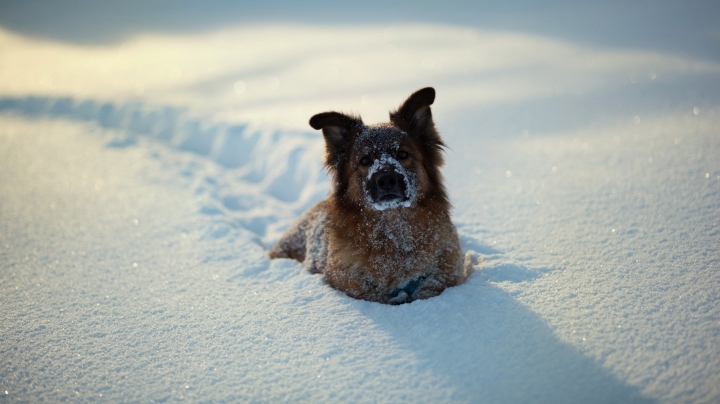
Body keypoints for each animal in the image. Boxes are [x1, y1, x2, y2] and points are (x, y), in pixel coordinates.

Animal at [270, 87, 472, 304]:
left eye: (403, 154)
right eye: (365, 160)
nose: (386, 180)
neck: (394, 232)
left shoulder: (446, 270)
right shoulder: (347, 279)